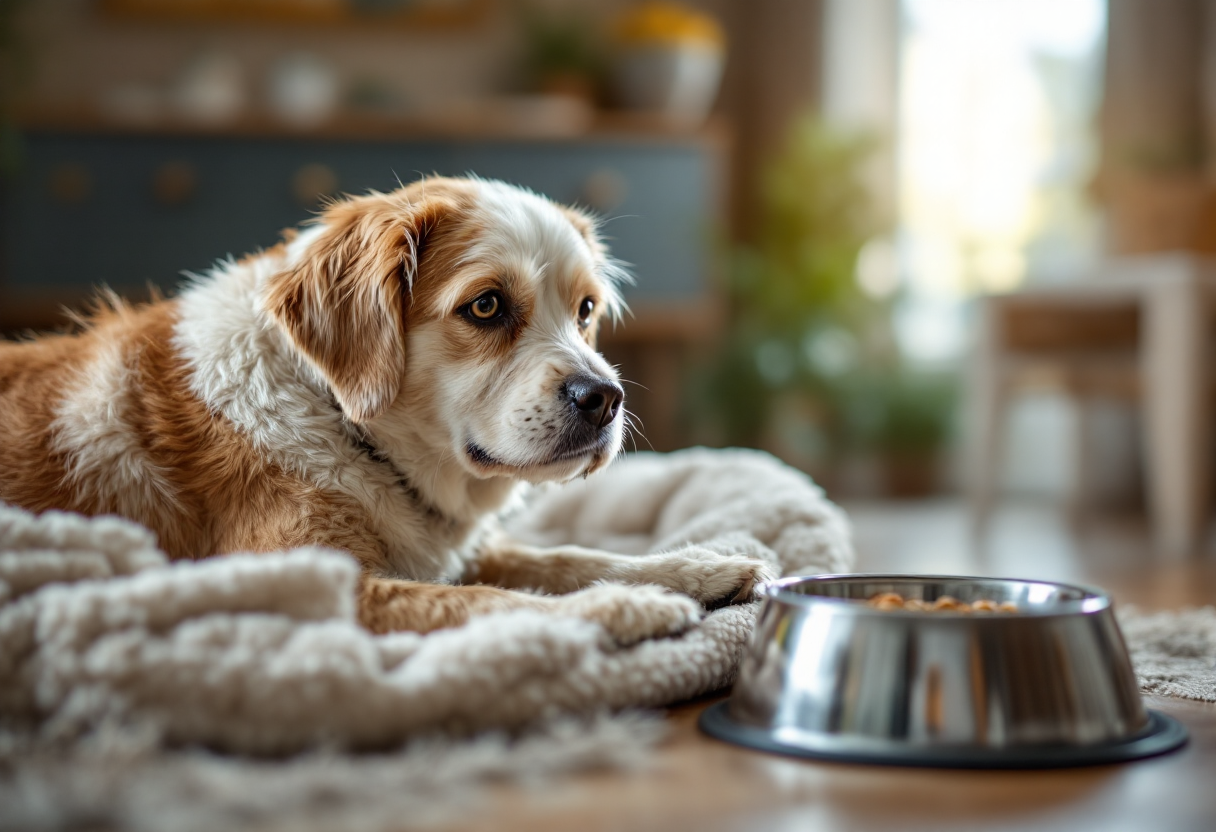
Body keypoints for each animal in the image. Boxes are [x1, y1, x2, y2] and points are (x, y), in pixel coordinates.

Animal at [0, 175, 773, 642]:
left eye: (586, 310)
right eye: (486, 306)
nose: (606, 398)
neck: (339, 418)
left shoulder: (462, 550)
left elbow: (569, 557)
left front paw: (698, 569)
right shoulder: (307, 586)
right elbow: (501, 603)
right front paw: (624, 608)